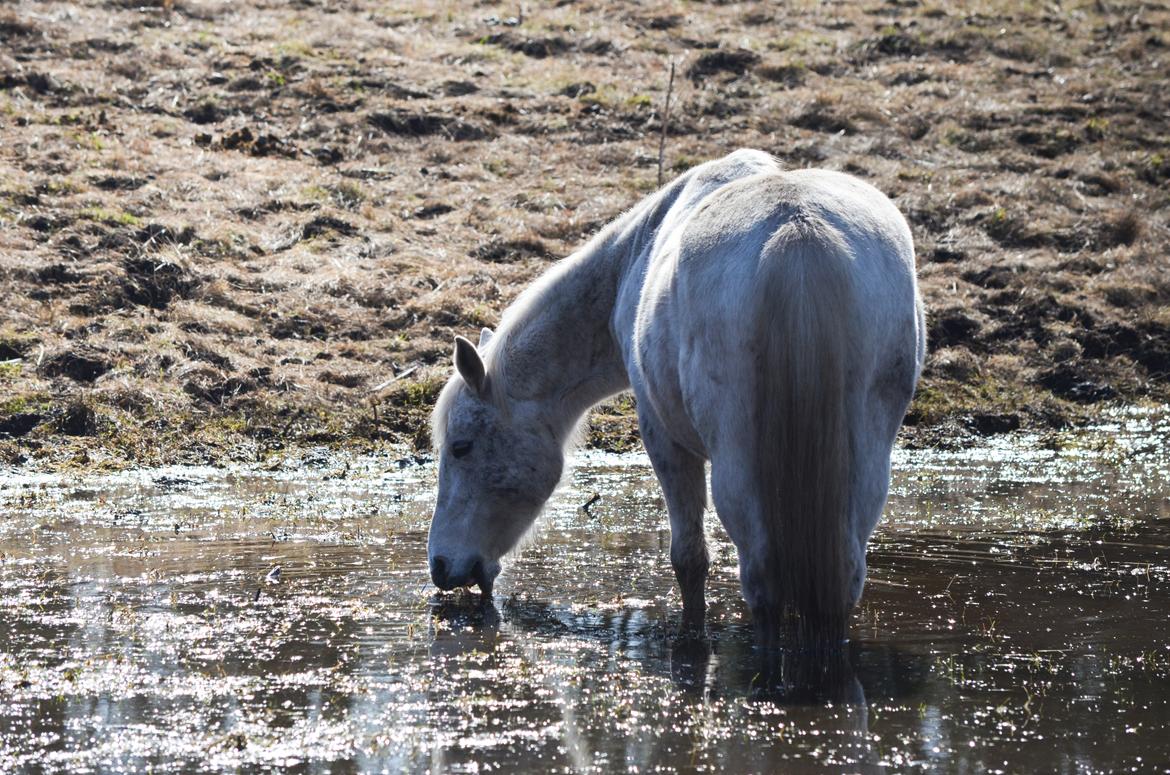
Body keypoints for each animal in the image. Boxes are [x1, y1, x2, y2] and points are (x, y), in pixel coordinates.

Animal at [425, 148, 926, 646]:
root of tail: (797, 231)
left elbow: (689, 561)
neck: (633, 260)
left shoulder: (662, 439)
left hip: (737, 471)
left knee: (762, 580)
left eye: (461, 447)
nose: (441, 566)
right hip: (864, 469)